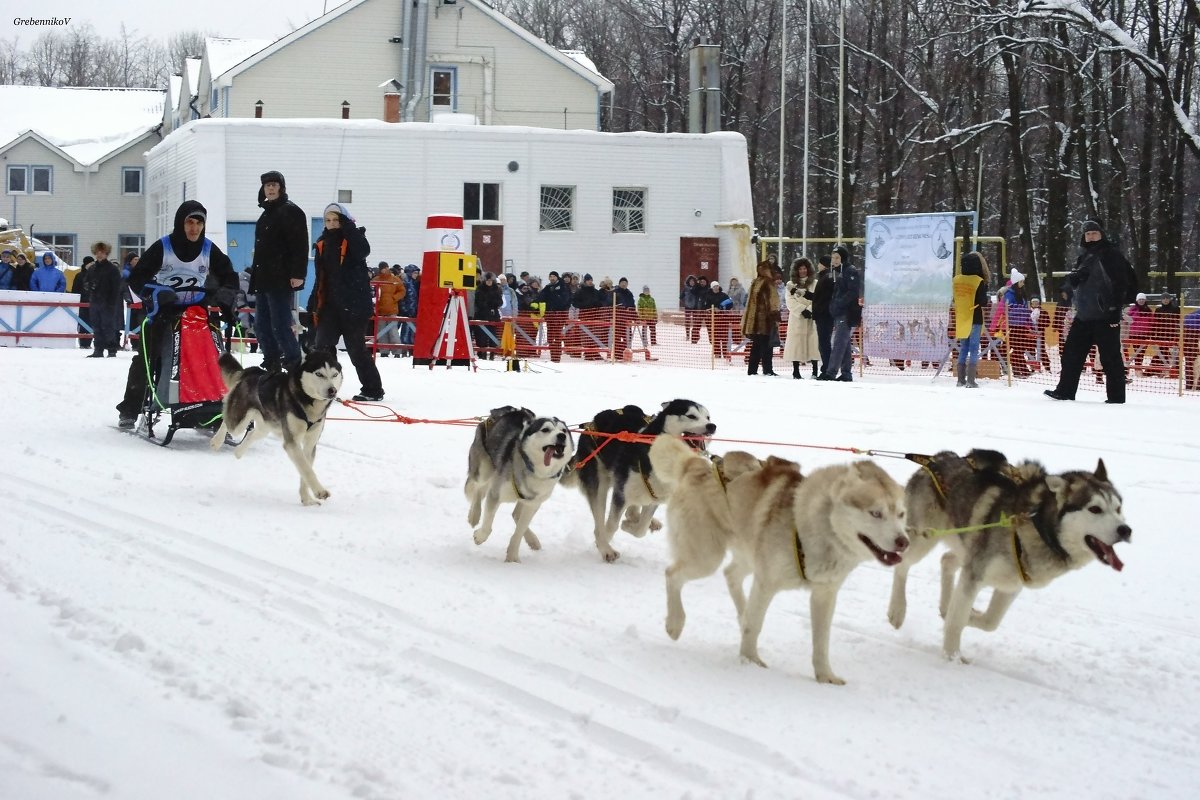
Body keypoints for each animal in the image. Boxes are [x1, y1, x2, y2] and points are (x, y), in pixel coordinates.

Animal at [208, 352, 343, 506]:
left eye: (334, 374)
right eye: (319, 374)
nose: (332, 390)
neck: (307, 402)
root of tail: (252, 371)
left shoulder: (310, 444)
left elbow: (305, 470)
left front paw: (307, 499)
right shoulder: (292, 443)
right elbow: (306, 469)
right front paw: (320, 491)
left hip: (266, 426)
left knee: (252, 433)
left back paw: (239, 452)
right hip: (238, 422)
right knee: (226, 419)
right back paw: (217, 441)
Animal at [463, 407, 571, 563]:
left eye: (564, 430)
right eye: (546, 429)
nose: (561, 436)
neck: (533, 469)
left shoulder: (532, 504)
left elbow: (519, 531)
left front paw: (512, 558)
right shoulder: (495, 494)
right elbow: (488, 525)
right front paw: (480, 536)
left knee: (516, 514)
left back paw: (533, 540)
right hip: (484, 470)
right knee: (478, 488)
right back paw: (474, 516)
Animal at [559, 400, 710, 563]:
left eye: (708, 417)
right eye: (691, 416)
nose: (712, 426)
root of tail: (591, 422)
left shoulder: (655, 497)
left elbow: (641, 529)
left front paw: (629, 526)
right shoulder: (621, 494)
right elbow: (611, 526)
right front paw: (605, 547)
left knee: (633, 510)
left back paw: (644, 520)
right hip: (600, 484)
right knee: (600, 518)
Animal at [652, 438, 902, 690]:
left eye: (901, 514)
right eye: (876, 513)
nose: (904, 541)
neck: (810, 525)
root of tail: (696, 464)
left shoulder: (825, 594)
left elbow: (821, 641)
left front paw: (825, 676)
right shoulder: (766, 583)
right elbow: (755, 624)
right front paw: (750, 662)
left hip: (746, 553)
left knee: (730, 574)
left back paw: (740, 612)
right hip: (706, 557)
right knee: (672, 574)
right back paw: (675, 622)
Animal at [892, 450, 1132, 662]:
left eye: (1118, 508)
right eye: (1095, 509)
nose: (1126, 530)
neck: (1037, 525)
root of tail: (935, 459)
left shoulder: (1010, 584)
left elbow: (990, 621)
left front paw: (968, 616)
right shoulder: (975, 574)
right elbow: (957, 621)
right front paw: (952, 659)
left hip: (967, 544)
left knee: (947, 561)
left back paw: (944, 605)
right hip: (923, 540)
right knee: (902, 564)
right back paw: (897, 610)